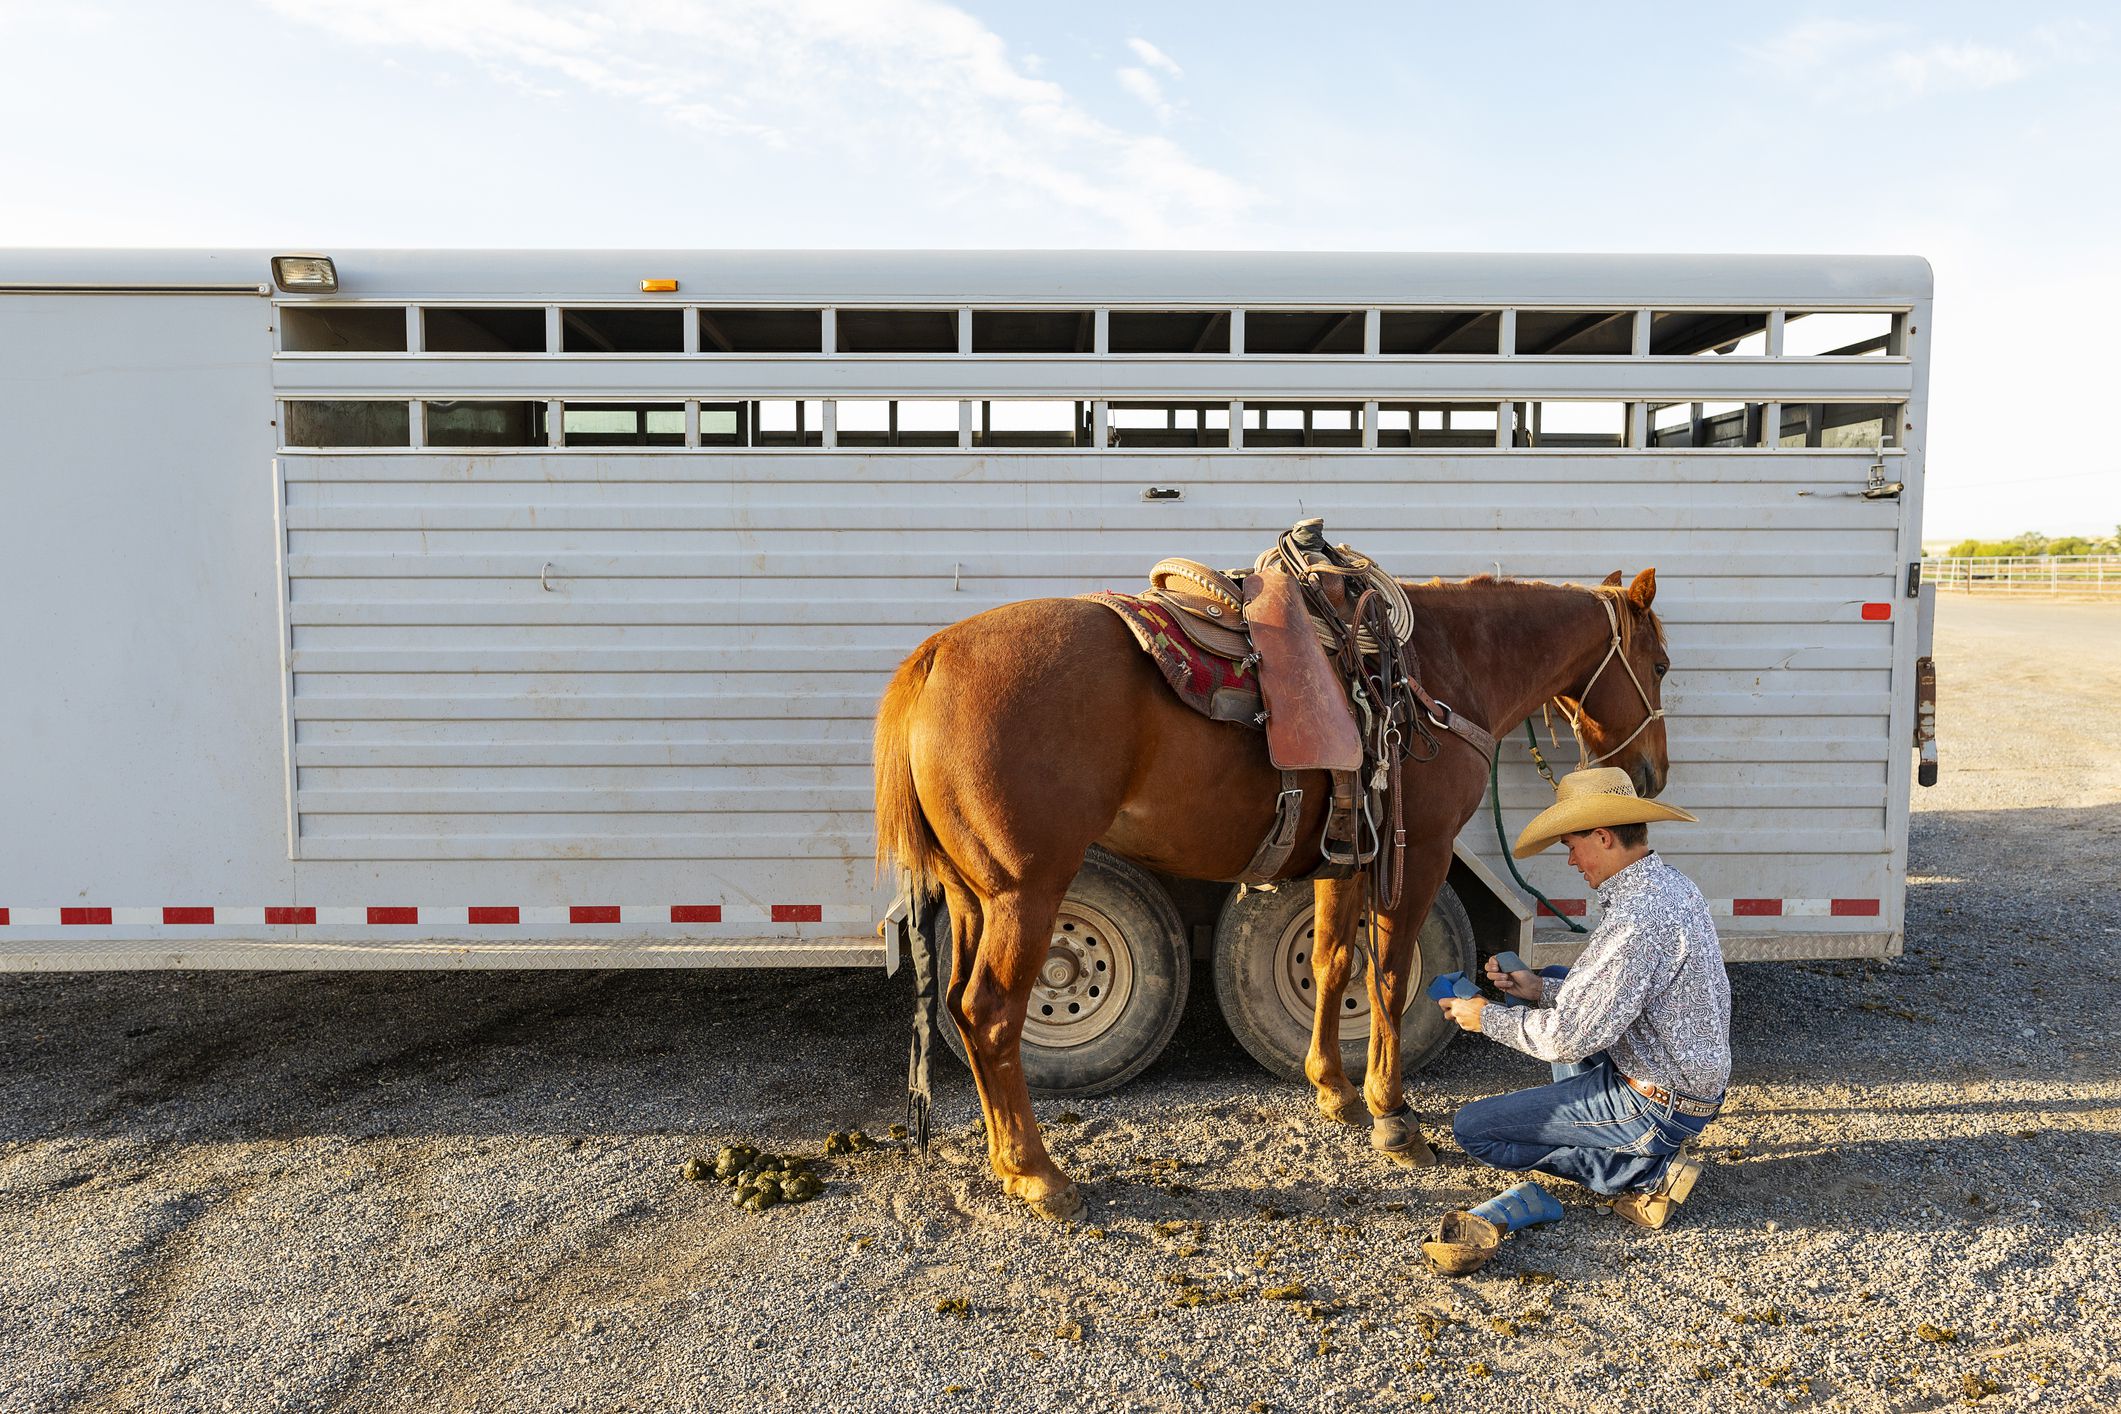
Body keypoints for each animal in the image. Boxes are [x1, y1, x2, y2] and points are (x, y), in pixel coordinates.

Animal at [869, 563, 1662, 1221]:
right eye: (1659, 664)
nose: (1651, 774)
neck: (1442, 666)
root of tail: (935, 655)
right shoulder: (1419, 854)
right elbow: (1390, 976)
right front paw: (1392, 1115)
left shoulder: (1343, 860)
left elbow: (1333, 965)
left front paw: (1333, 1090)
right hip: (1026, 893)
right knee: (992, 1014)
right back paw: (1038, 1174)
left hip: (973, 896)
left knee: (962, 1011)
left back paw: (1008, 1161)